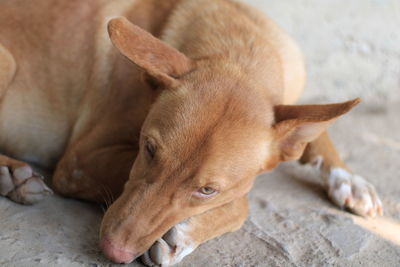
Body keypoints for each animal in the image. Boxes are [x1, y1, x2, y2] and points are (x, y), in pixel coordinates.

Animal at [0, 0, 382, 266]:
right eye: (148, 149)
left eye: (207, 190)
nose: (113, 251)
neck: (239, 46)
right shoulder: (78, 161)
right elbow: (243, 203)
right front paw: (180, 235)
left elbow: (317, 130)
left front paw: (349, 179)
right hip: (7, 62)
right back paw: (11, 174)